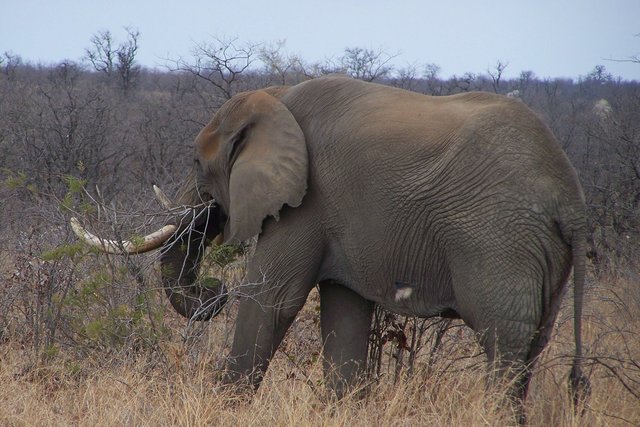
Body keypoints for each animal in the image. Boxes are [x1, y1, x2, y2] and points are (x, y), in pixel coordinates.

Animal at [71, 75, 592, 416]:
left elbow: (272, 298)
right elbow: (344, 314)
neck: (276, 98)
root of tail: (571, 198)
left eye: (198, 163)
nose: (213, 290)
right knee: (532, 345)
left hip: (499, 240)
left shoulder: (306, 201)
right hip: (539, 252)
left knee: (505, 345)